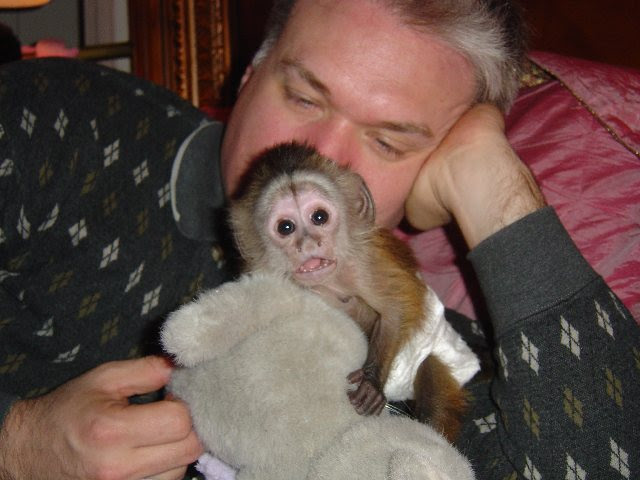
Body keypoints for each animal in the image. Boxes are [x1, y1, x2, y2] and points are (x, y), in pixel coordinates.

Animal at [228, 142, 472, 441]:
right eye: (285, 227)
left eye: (319, 217)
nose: (308, 243)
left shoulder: (362, 263)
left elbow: (395, 308)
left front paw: (371, 381)